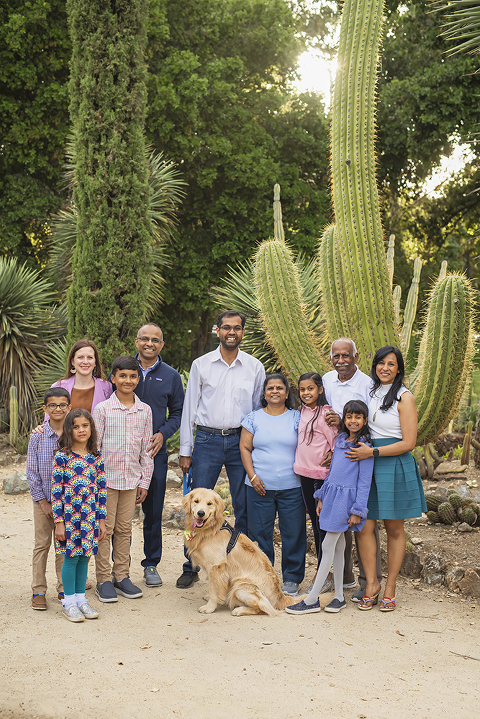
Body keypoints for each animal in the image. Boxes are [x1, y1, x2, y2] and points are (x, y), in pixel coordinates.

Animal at [183, 486, 298, 616]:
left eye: (209, 504)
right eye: (196, 501)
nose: (201, 513)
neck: (211, 529)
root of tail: (281, 598)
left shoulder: (216, 567)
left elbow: (214, 589)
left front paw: (210, 607)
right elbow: (214, 588)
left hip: (240, 586)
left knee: (263, 608)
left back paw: (240, 610)